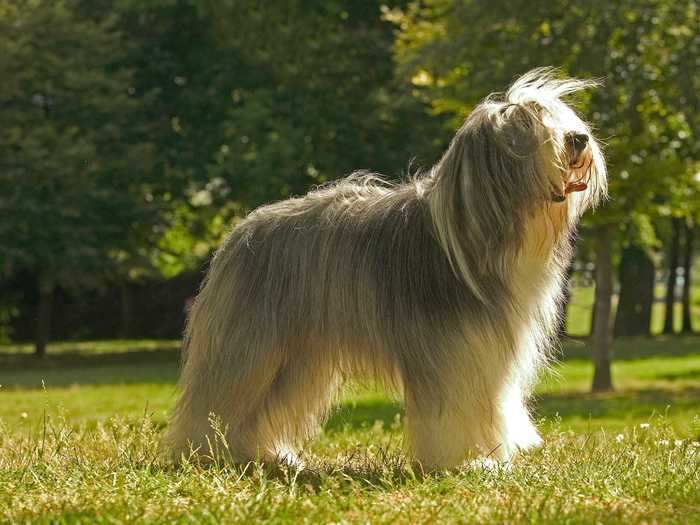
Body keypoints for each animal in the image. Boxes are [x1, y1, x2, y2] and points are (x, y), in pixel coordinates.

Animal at [165, 68, 608, 466]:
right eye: (526, 125)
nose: (579, 139)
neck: (479, 233)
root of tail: (238, 233)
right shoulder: (450, 352)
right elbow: (451, 412)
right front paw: (459, 461)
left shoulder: (486, 351)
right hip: (252, 343)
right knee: (220, 397)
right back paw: (204, 453)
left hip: (298, 359)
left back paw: (262, 455)